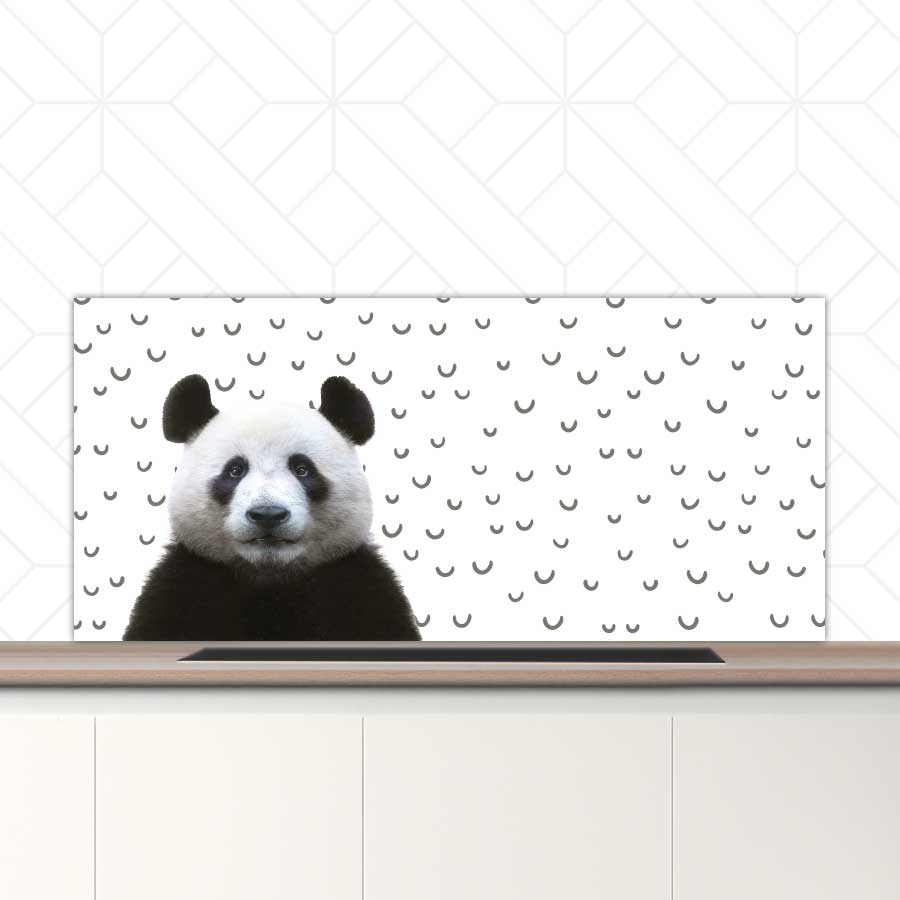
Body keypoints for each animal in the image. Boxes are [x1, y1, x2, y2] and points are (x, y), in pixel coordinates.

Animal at [123, 373, 420, 641]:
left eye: (302, 469)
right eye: (235, 470)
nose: (267, 515)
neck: (270, 579)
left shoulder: (358, 587)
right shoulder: (183, 587)